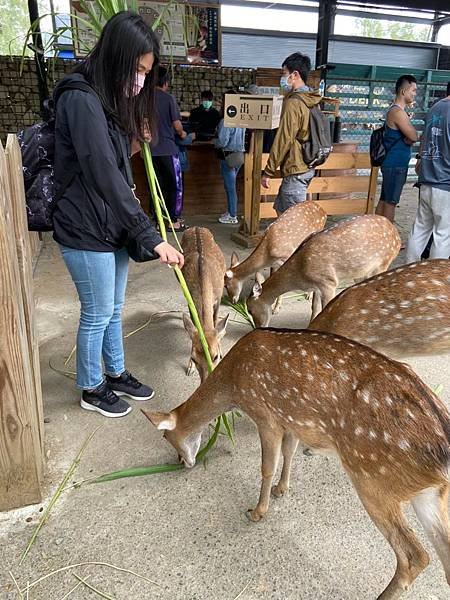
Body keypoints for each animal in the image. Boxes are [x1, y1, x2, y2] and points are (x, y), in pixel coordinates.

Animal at [144, 328, 450, 600]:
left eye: (165, 436)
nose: (183, 462)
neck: (233, 382)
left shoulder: (265, 414)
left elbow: (267, 466)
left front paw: (257, 511)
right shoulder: (289, 418)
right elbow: (289, 453)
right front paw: (282, 489)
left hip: (373, 479)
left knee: (415, 555)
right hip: (426, 495)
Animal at [180, 227, 229, 382]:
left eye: (215, 357)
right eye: (193, 358)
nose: (206, 382)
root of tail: (196, 227)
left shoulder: (218, 299)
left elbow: (215, 322)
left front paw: (221, 347)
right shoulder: (190, 300)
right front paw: (189, 368)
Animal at [246, 216, 400, 326]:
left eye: (250, 309)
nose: (258, 327)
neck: (301, 273)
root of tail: (397, 236)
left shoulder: (328, 282)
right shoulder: (318, 286)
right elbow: (314, 307)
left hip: (384, 262)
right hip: (360, 271)